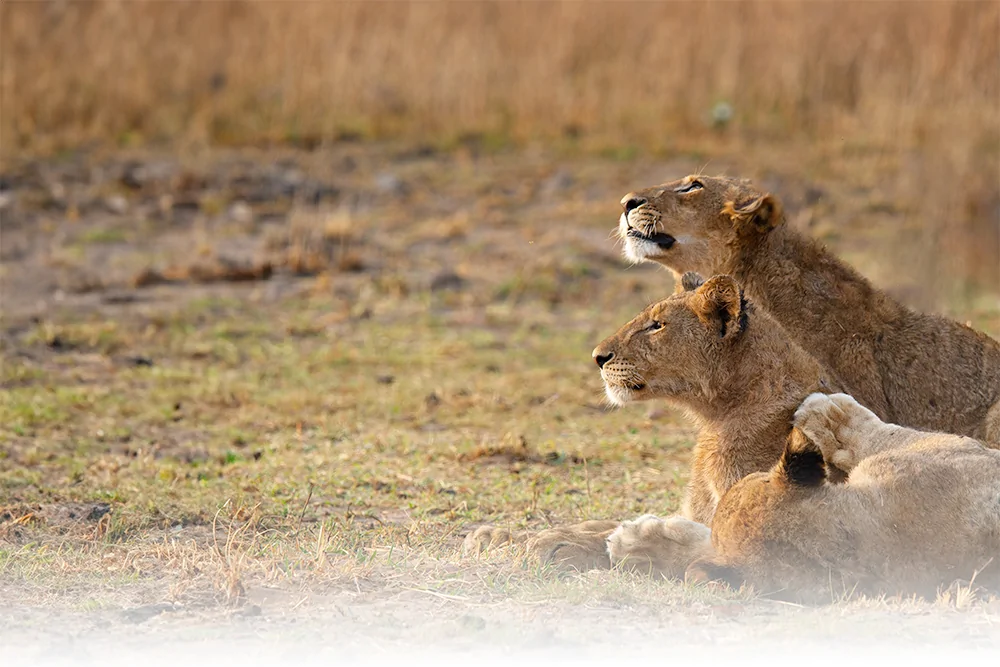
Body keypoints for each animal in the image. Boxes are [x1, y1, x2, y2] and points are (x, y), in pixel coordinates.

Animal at [465, 273, 841, 574]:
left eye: (657, 325)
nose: (597, 357)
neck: (716, 418)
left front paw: (557, 544)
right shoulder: (695, 510)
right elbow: (606, 521)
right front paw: (499, 535)